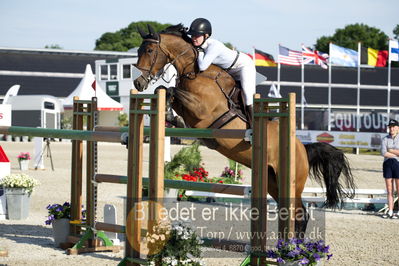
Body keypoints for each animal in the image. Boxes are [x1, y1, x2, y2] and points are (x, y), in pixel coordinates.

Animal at [134, 23, 356, 236]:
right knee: (293, 213)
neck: (193, 71)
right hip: (273, 182)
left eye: (150, 50)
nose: (138, 82)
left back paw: (293, 248)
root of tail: (302, 148)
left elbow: (173, 90)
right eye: (138, 50)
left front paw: (172, 115)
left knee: (300, 214)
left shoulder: (201, 109)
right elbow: (164, 90)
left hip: (291, 182)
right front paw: (170, 115)